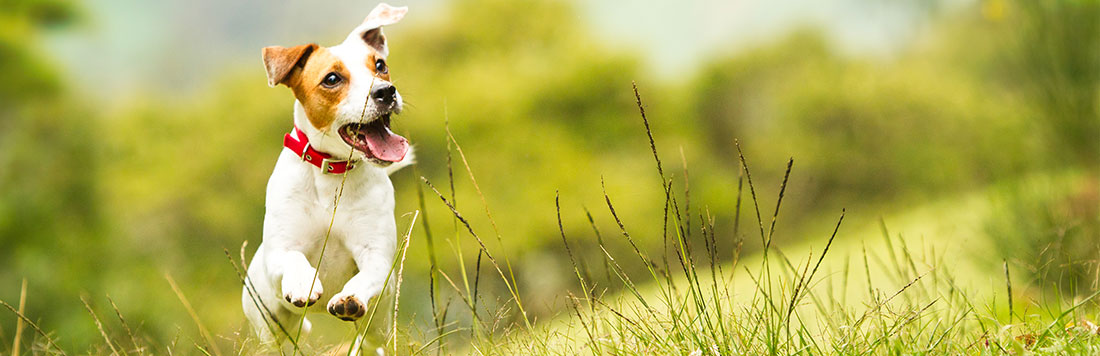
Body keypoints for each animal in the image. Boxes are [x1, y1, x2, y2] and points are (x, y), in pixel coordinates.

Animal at [242, 2, 413, 347]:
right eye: (332, 78)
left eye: (380, 65)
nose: (386, 91)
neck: (331, 174)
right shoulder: (278, 255)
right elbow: (293, 259)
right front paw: (302, 283)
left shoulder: (376, 255)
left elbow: (369, 274)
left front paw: (350, 298)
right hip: (268, 328)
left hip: (376, 331)